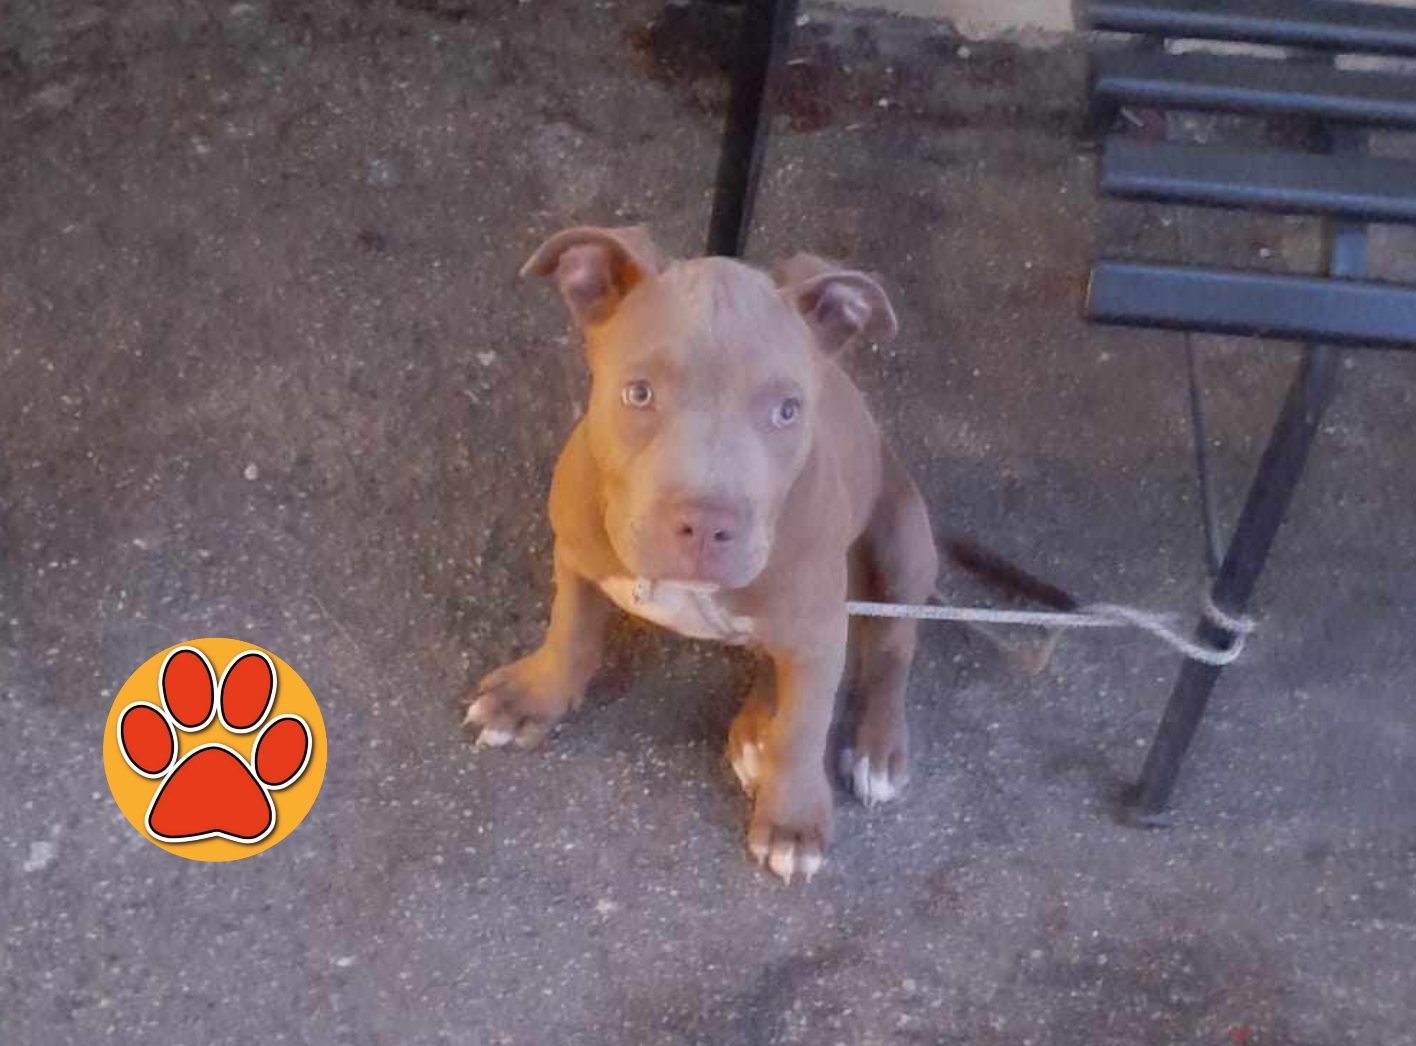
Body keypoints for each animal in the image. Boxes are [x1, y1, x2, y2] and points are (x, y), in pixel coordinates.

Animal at [465, 226, 938, 883]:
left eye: (787, 410)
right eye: (638, 392)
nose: (709, 525)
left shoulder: (818, 628)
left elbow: (806, 724)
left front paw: (792, 821)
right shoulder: (577, 553)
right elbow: (570, 631)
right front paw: (530, 697)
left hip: (902, 539)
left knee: (893, 646)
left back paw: (874, 748)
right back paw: (756, 729)